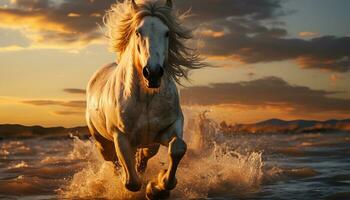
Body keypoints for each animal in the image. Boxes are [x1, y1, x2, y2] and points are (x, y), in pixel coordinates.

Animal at [85, 0, 205, 198]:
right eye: (138, 32)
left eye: (167, 32)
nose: (153, 73)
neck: (146, 99)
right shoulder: (121, 137)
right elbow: (132, 183)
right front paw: (151, 188)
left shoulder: (170, 127)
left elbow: (178, 147)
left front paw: (160, 186)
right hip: (103, 143)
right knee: (115, 162)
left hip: (149, 141)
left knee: (146, 154)